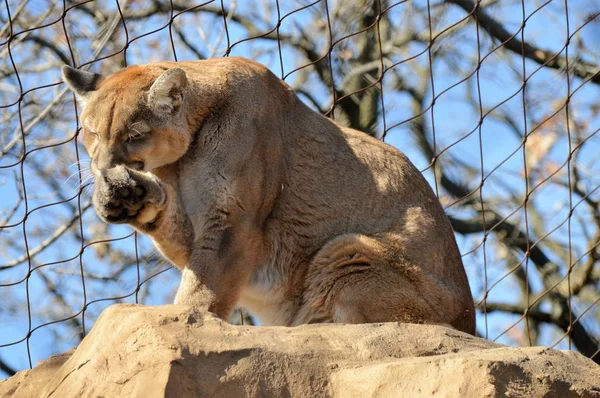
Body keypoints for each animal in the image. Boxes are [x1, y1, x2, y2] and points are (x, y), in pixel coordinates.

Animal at [61, 56, 474, 332]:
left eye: (134, 135)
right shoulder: (202, 221)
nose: (103, 166)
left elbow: (204, 286)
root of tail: (469, 324)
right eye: (92, 132)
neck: (181, 159)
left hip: (349, 251)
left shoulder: (234, 221)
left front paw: (184, 324)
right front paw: (128, 196)